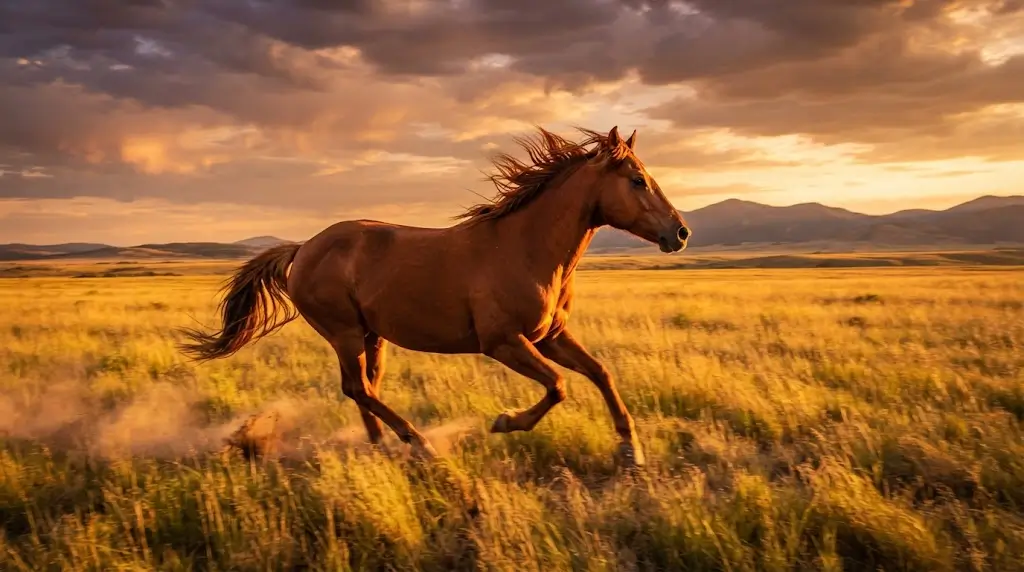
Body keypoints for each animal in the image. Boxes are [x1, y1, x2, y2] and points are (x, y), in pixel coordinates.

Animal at [178, 125, 691, 467]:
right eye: (638, 180)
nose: (680, 233)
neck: (524, 247)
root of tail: (302, 248)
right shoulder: (503, 342)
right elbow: (559, 386)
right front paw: (505, 422)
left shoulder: (550, 336)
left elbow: (600, 373)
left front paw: (630, 449)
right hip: (345, 333)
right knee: (357, 388)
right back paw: (418, 443)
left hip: (372, 337)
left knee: (364, 388)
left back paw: (382, 448)